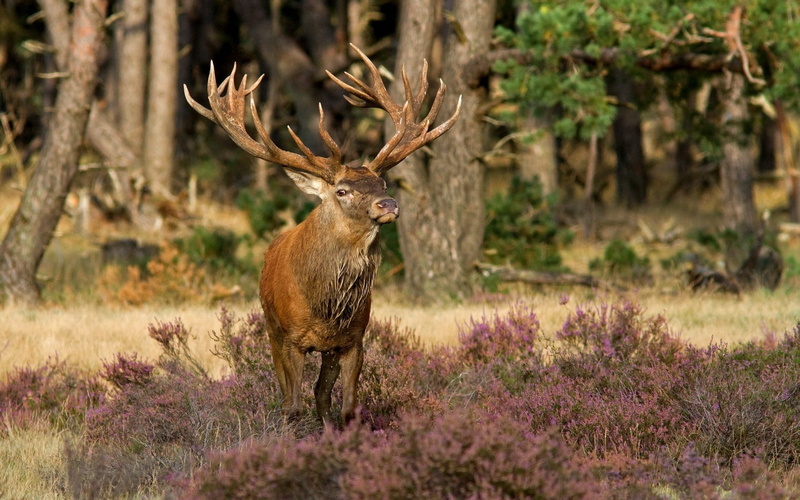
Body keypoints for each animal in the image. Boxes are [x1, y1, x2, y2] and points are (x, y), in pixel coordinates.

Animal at [184, 45, 460, 427]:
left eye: (382, 183)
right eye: (342, 191)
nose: (388, 204)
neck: (326, 307)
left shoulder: (353, 339)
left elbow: (346, 407)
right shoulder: (291, 339)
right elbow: (293, 405)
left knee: (321, 396)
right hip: (271, 328)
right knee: (288, 396)